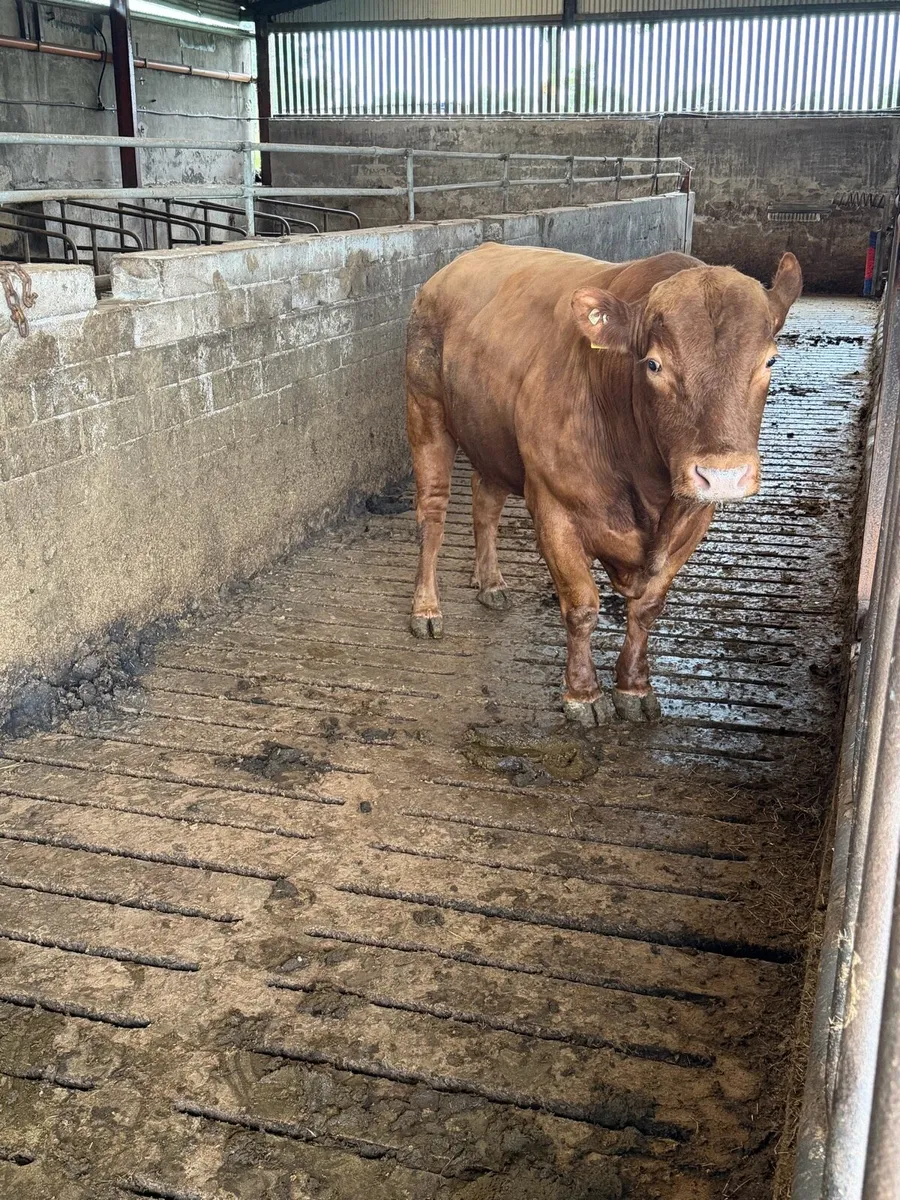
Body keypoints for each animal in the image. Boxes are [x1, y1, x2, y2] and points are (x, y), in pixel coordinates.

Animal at [405, 245, 802, 725]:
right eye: (654, 364)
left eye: (770, 361)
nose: (722, 473)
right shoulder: (554, 508)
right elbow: (581, 607)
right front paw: (583, 694)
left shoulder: (692, 518)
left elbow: (647, 609)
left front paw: (634, 688)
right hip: (425, 412)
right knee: (432, 516)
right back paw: (427, 609)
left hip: (493, 440)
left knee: (485, 501)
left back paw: (491, 584)